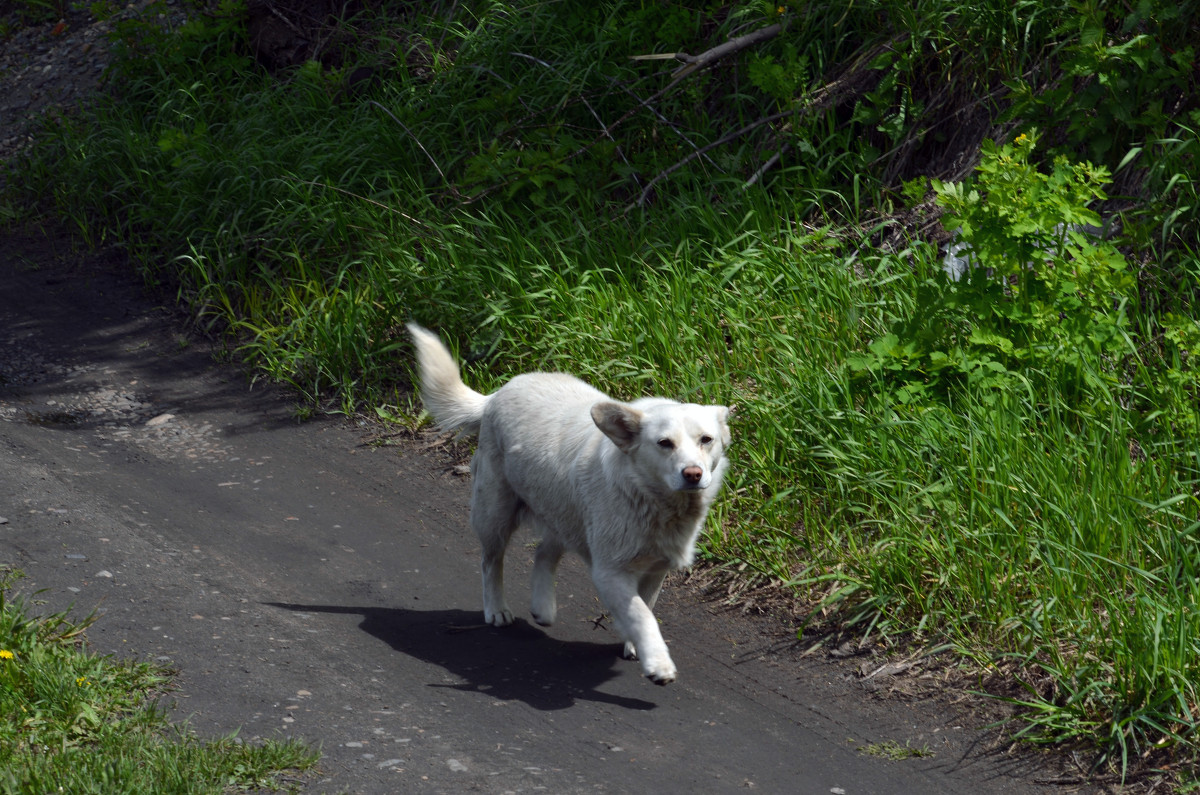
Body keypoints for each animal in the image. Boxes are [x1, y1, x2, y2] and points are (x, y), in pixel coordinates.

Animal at [408, 324, 729, 686]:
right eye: (664, 443)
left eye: (706, 440)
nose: (693, 474)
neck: (652, 498)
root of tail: (496, 395)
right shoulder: (610, 571)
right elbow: (641, 614)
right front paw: (658, 663)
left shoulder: (655, 569)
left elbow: (645, 606)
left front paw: (636, 645)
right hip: (494, 513)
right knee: (491, 561)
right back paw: (497, 609)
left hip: (564, 513)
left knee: (543, 552)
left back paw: (542, 607)